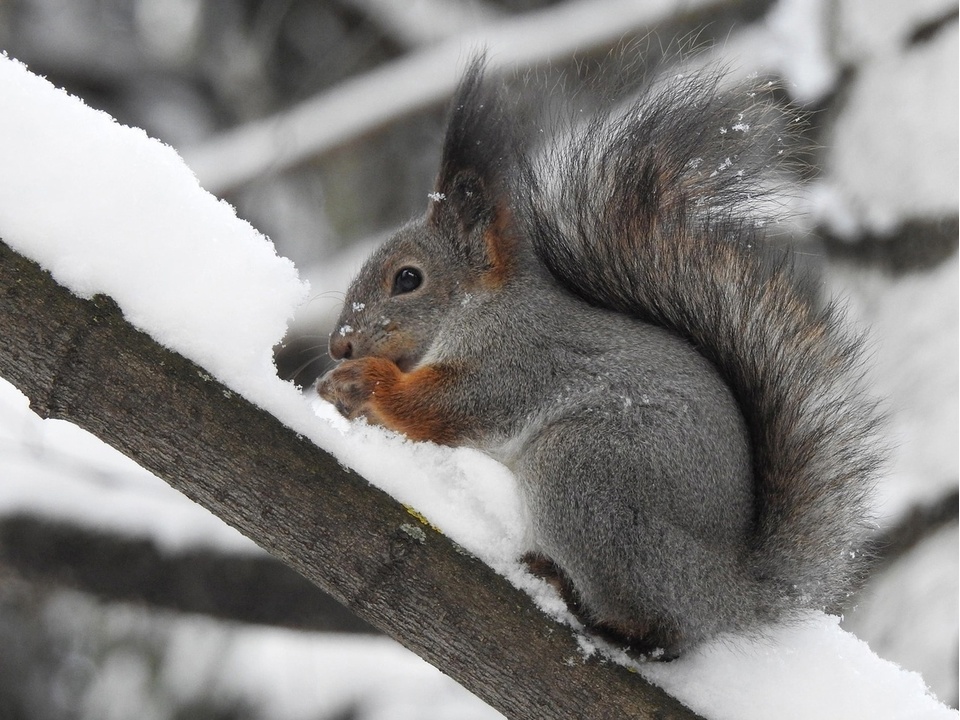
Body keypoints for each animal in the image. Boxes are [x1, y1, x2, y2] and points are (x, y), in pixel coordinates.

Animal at [318, 57, 880, 660]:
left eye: (408, 279)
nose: (339, 345)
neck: (481, 308)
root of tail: (728, 598)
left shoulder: (519, 359)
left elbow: (451, 408)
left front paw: (363, 380)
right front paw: (338, 390)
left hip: (585, 476)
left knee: (659, 631)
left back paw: (588, 605)